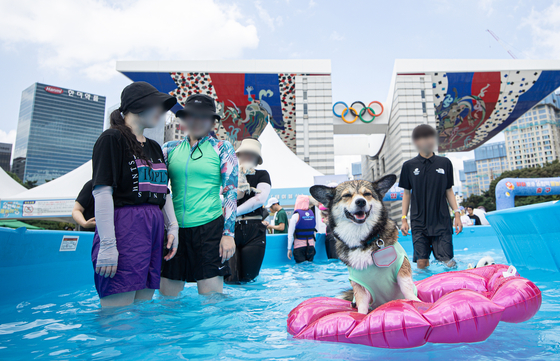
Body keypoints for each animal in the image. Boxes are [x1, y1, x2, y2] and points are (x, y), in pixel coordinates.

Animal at [310, 176, 420, 314]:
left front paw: (417, 303)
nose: (361, 202)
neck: (364, 241)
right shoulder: (359, 286)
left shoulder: (402, 269)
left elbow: (407, 290)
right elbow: (362, 305)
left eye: (367, 194)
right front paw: (361, 316)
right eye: (346, 195)